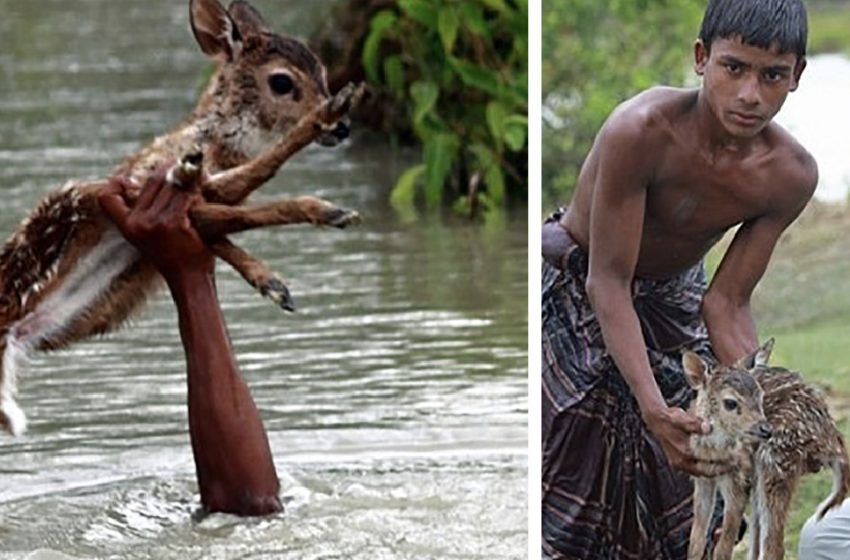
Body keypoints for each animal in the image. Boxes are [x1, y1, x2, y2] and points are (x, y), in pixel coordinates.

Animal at [0, 0, 362, 438]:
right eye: (281, 82)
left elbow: (228, 218)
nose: (342, 128)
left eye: (323, 71)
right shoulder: (134, 187)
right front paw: (324, 212)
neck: (214, 146)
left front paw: (272, 281)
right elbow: (241, 200)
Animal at [684, 340, 848, 560]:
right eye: (730, 403)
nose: (766, 429)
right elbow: (695, 541)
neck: (716, 449)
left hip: (775, 460)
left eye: (761, 397)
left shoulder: (739, 477)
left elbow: (723, 547)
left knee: (773, 546)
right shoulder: (702, 477)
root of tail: (831, 436)